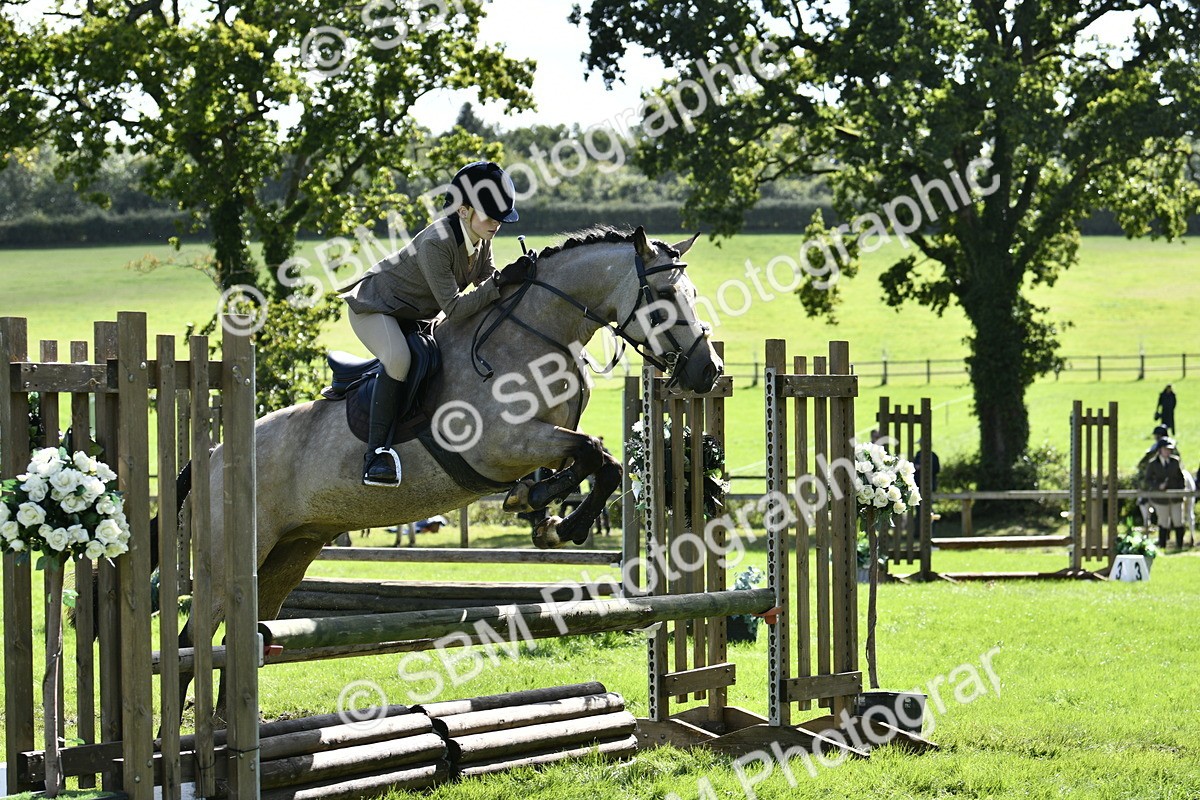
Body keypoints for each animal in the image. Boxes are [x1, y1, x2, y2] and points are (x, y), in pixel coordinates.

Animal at [177, 224, 722, 710]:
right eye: (664, 296)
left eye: (693, 293)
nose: (708, 371)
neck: (540, 333)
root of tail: (213, 456)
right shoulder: (502, 444)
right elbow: (596, 457)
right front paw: (561, 522)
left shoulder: (545, 441)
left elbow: (592, 464)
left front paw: (541, 513)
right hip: (232, 560)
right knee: (192, 638)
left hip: (288, 553)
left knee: (252, 628)